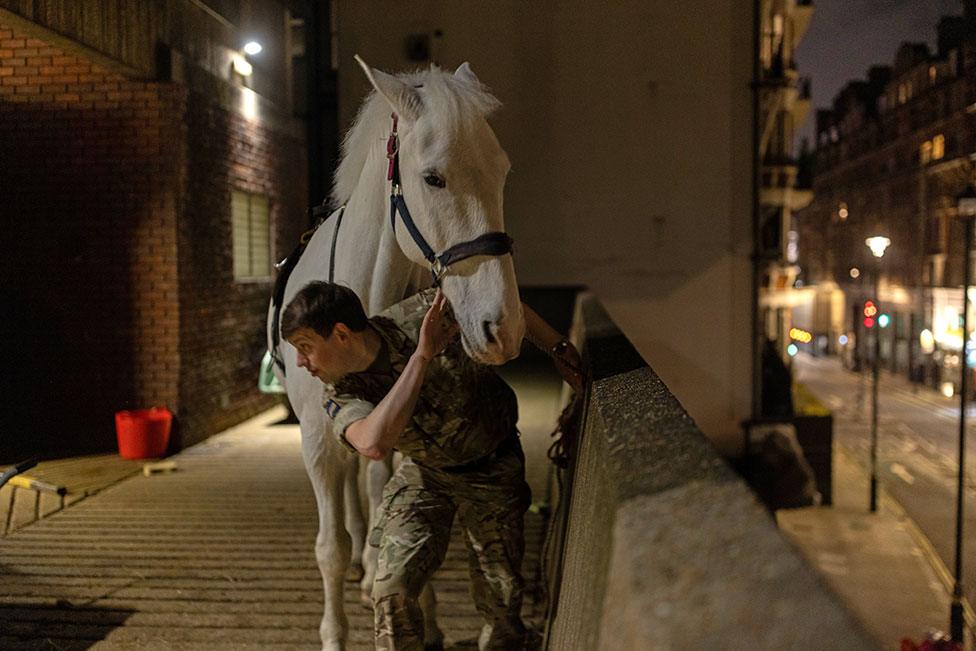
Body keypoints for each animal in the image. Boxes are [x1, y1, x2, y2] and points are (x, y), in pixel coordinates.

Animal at [266, 57, 528, 651]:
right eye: (433, 178)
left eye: (502, 171)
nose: (502, 327)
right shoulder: (317, 439)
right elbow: (329, 547)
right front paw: (334, 634)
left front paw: (427, 620)